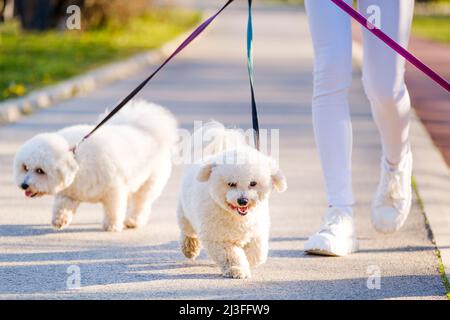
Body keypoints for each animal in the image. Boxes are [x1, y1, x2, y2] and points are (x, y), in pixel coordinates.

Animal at [12, 99, 178, 231]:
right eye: (25, 167)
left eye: (40, 170)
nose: (24, 185)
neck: (77, 160)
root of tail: (148, 131)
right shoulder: (69, 193)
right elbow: (62, 207)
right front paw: (59, 221)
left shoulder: (114, 190)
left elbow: (113, 210)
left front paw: (111, 226)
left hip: (148, 184)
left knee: (140, 203)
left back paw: (132, 221)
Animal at [178, 121, 286, 278]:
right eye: (231, 184)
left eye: (253, 183)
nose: (243, 201)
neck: (237, 216)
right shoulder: (219, 238)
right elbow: (231, 256)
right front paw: (237, 269)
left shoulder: (257, 232)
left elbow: (257, 254)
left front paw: (249, 261)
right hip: (185, 215)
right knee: (188, 232)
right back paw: (190, 248)